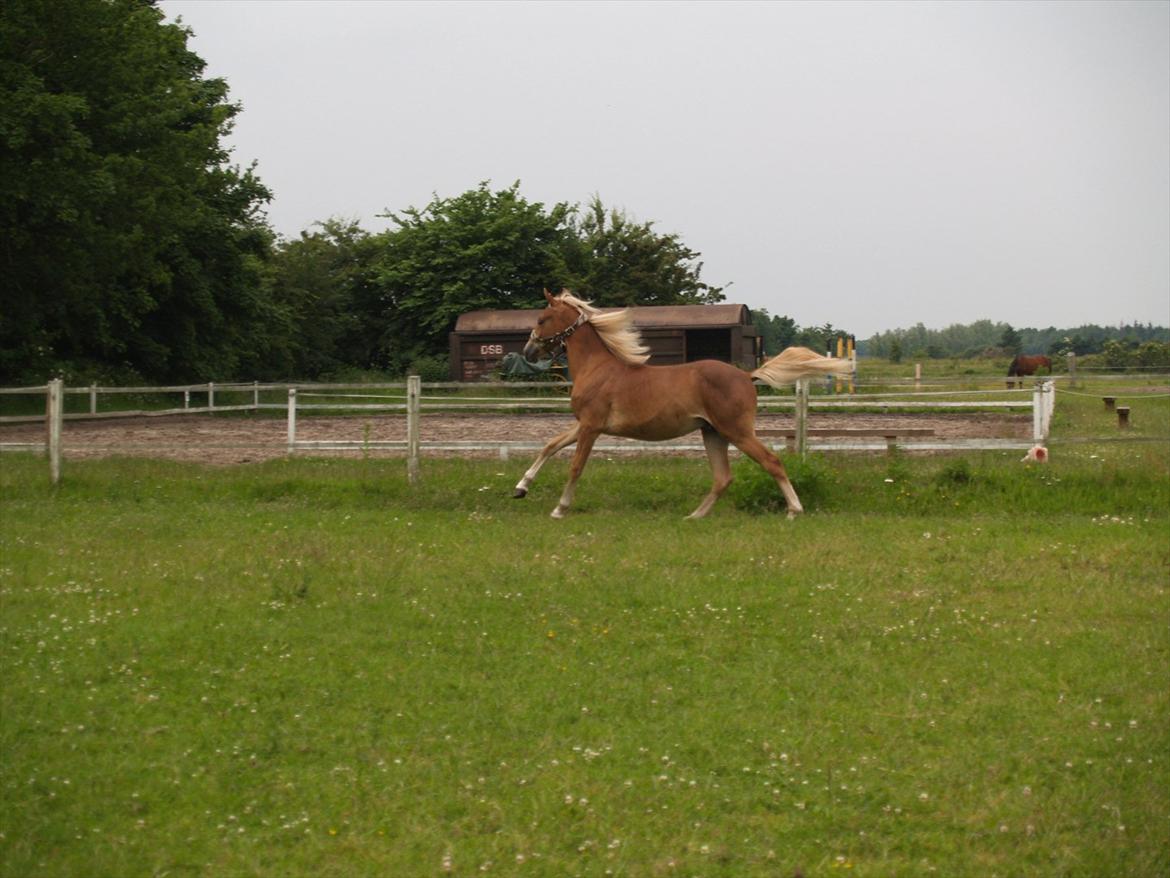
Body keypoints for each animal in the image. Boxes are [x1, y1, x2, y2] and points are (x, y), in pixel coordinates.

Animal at [511, 290, 852, 519]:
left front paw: (559, 509)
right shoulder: (584, 424)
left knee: (771, 462)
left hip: (736, 431)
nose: (528, 351)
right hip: (712, 433)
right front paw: (521, 488)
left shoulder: (592, 427)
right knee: (723, 477)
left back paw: (794, 510)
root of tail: (747, 375)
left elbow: (575, 466)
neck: (597, 368)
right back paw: (694, 516)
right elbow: (550, 445)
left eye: (541, 319)